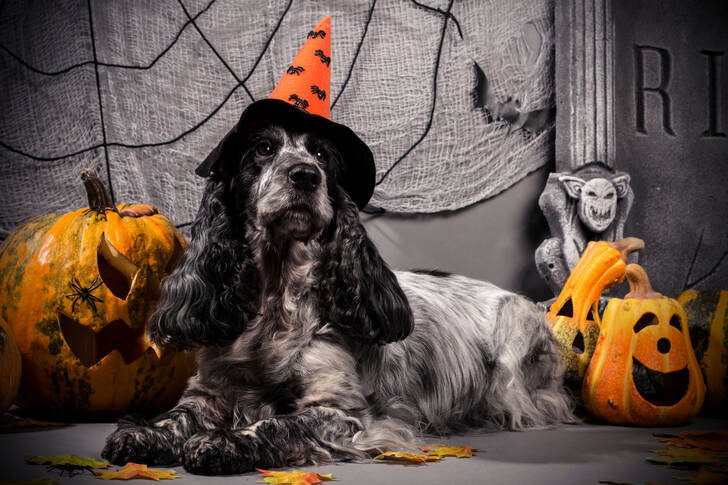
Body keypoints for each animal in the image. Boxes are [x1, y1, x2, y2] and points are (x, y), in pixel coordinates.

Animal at [101, 101, 576, 472]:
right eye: (263, 148)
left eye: (321, 154)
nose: (305, 175)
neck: (275, 301)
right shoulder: (211, 389)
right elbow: (178, 414)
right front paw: (144, 434)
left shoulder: (343, 413)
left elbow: (279, 423)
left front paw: (226, 442)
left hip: (514, 352)